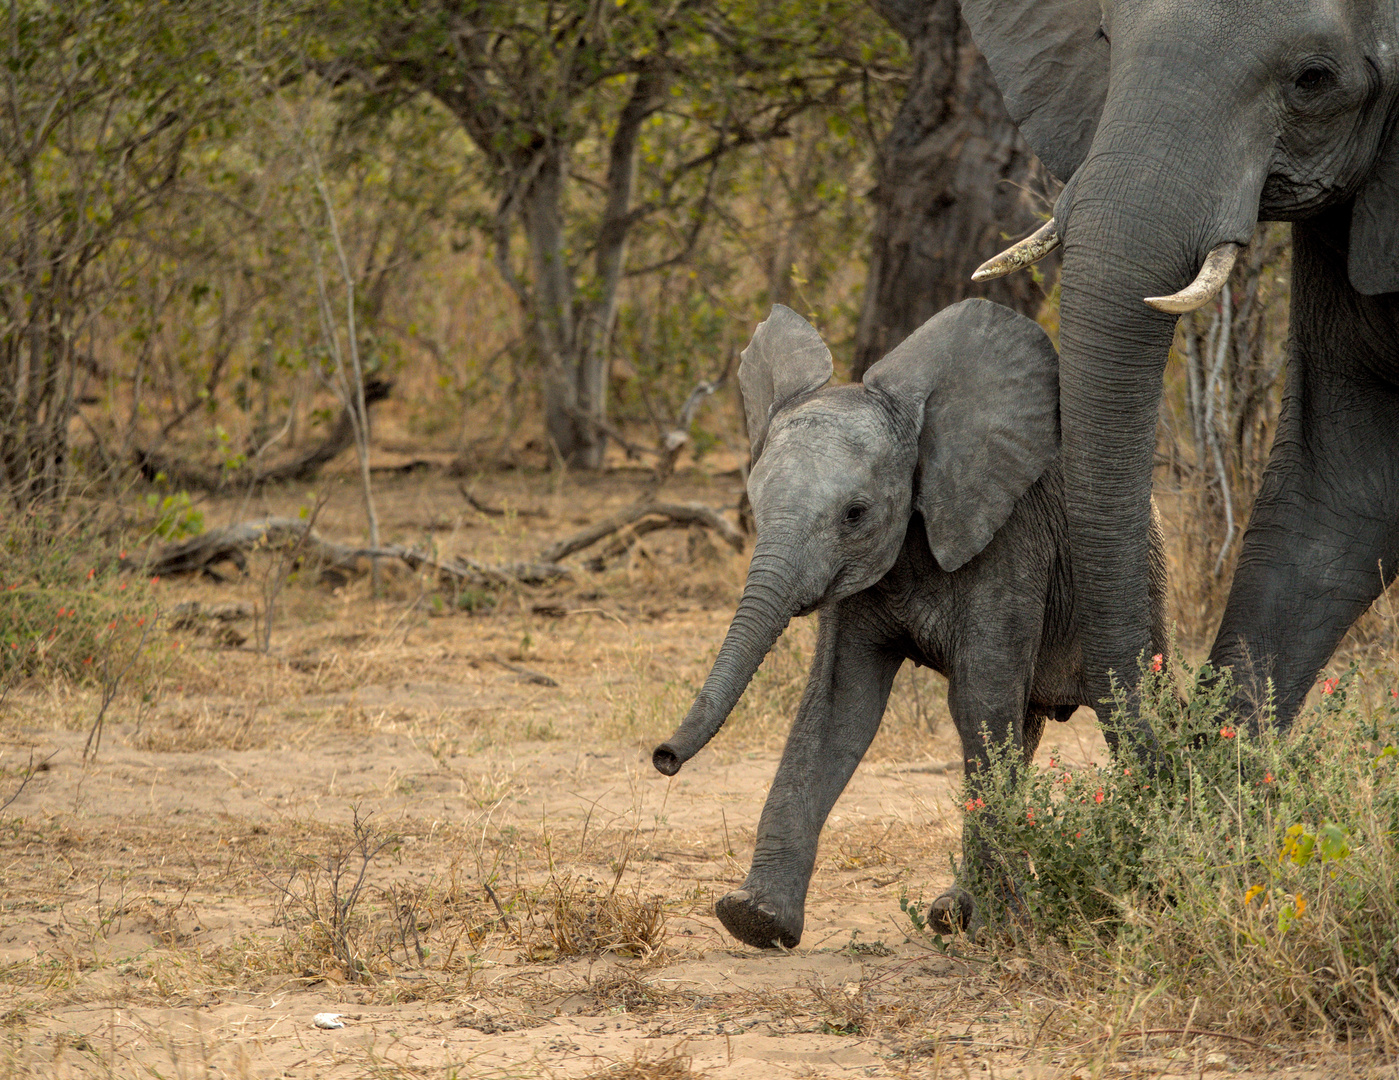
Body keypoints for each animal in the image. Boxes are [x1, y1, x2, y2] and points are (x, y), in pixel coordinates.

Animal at [654, 299, 1169, 951]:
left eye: (855, 514)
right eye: (752, 504)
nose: (663, 758)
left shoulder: (1010, 542)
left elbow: (978, 701)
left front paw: (992, 930)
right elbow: (837, 707)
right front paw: (755, 921)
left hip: (1143, 578)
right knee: (1024, 723)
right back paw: (954, 910)